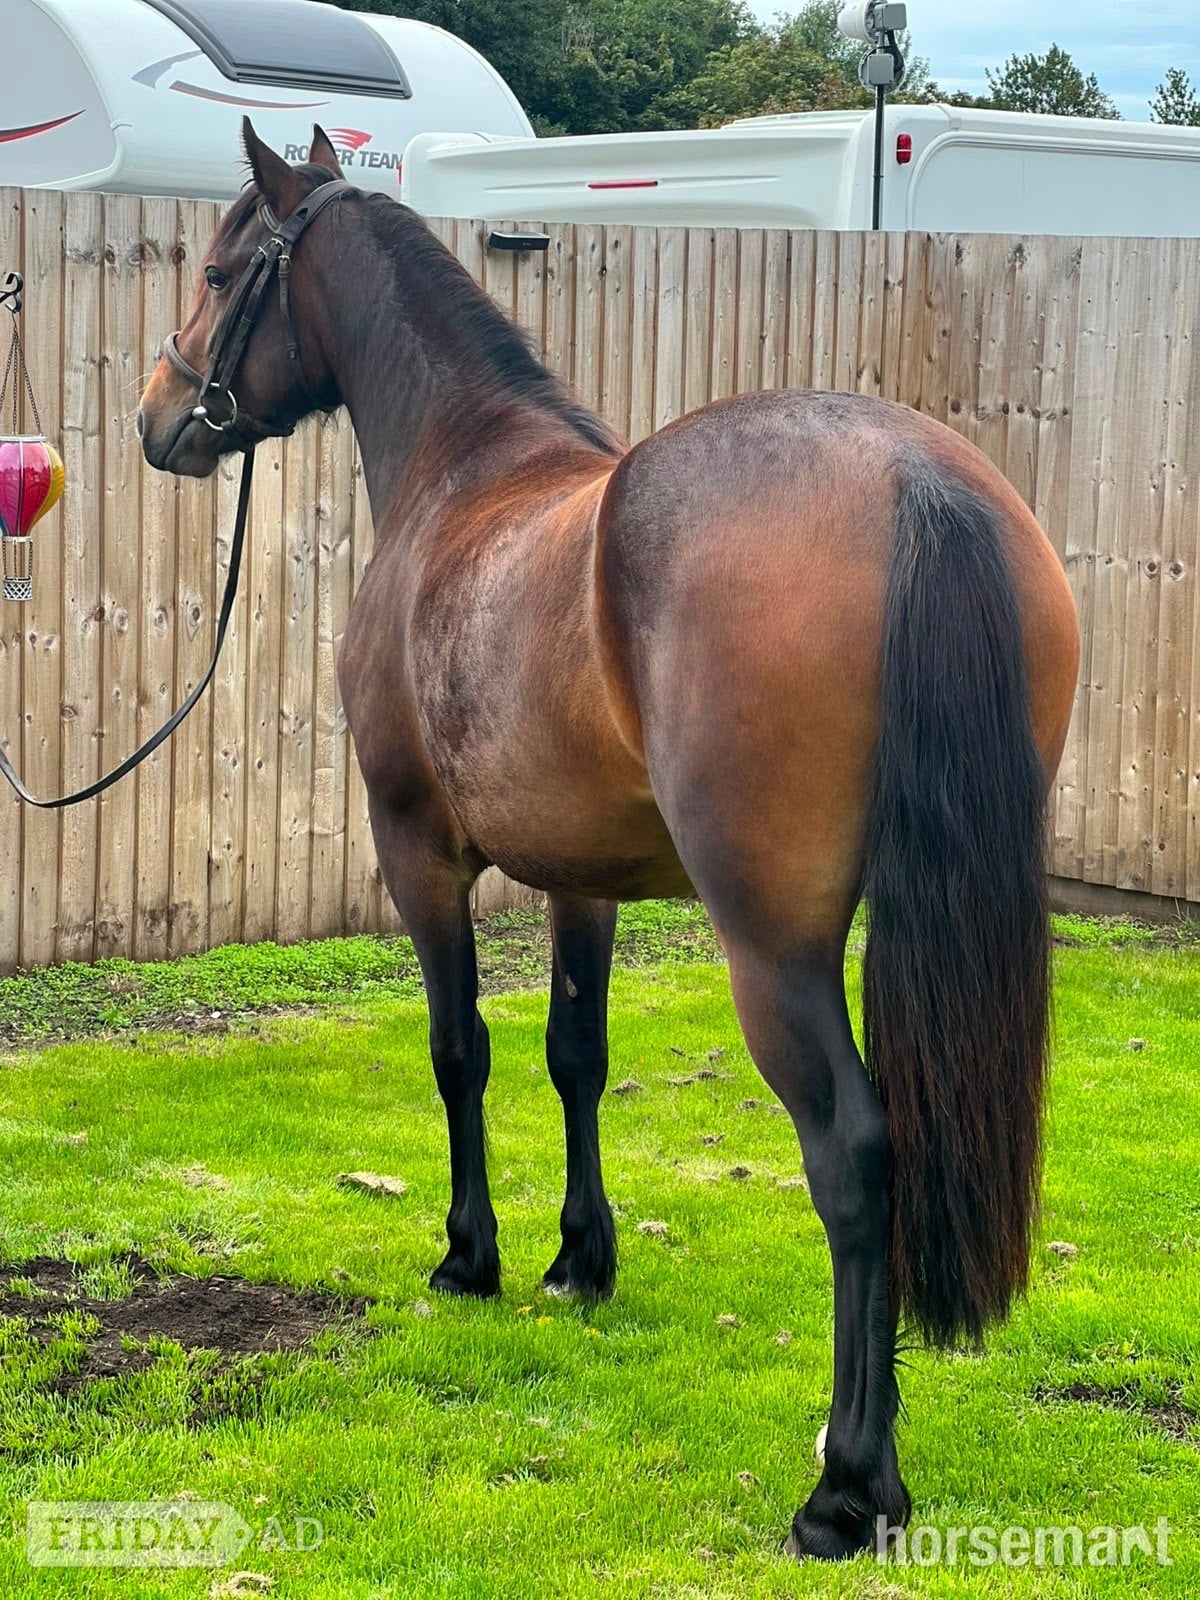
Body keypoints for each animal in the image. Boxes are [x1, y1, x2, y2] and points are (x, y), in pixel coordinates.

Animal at [138, 122, 1080, 1560]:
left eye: (216, 269)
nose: (157, 418)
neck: (466, 471)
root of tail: (916, 482)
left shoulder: (418, 854)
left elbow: (460, 1052)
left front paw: (469, 1256)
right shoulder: (582, 878)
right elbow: (574, 1057)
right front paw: (583, 1258)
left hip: (774, 943)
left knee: (856, 1151)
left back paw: (848, 1484)